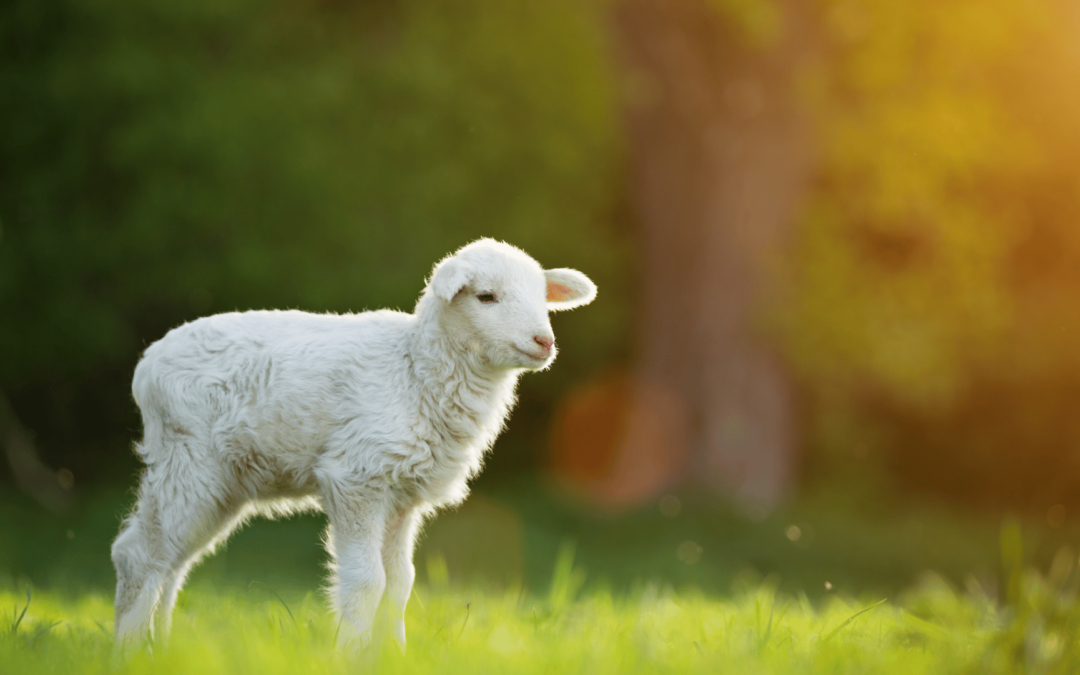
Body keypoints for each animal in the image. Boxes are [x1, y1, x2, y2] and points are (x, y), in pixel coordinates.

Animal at [110, 238, 600, 652]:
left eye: (542, 297)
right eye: (486, 297)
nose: (544, 342)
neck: (415, 368)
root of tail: (147, 365)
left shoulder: (402, 496)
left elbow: (400, 584)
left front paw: (395, 655)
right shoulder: (357, 477)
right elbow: (368, 581)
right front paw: (353, 653)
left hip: (222, 481)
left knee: (172, 562)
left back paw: (160, 647)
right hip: (188, 460)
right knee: (139, 556)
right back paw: (130, 651)